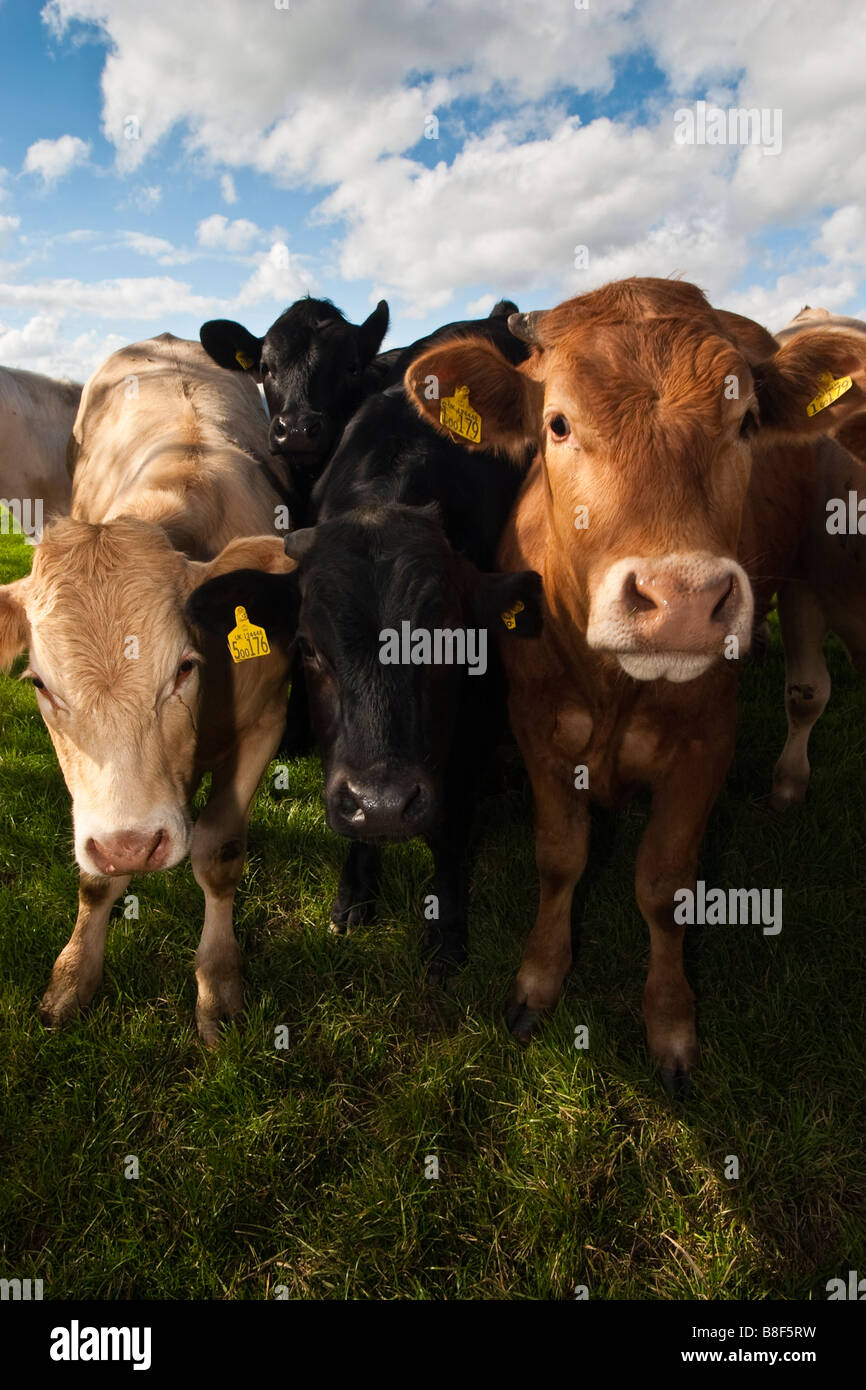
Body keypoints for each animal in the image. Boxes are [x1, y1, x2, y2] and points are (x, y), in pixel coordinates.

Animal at [187, 310, 540, 967]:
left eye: (452, 643)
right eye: (308, 649)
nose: (382, 802)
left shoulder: (478, 712)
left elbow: (450, 826)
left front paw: (446, 925)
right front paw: (354, 890)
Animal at [403, 276, 866, 1093]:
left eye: (746, 420)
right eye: (557, 424)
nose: (680, 600)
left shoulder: (706, 742)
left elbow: (664, 884)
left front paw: (670, 1018)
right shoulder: (538, 728)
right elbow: (560, 859)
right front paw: (538, 979)